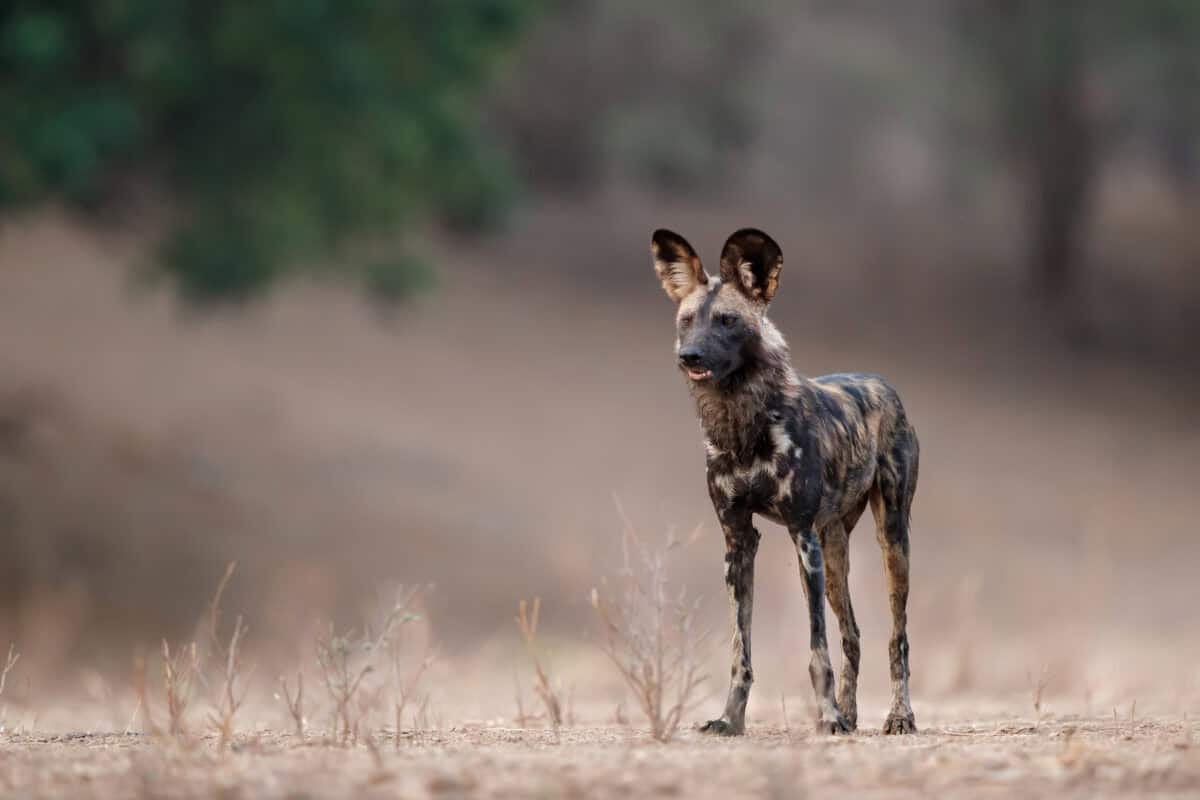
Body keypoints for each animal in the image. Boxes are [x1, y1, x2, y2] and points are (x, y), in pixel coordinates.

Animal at [648, 227, 916, 734]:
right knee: (853, 633)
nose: (688, 355)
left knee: (898, 639)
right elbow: (741, 651)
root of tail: (882, 382)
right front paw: (730, 720)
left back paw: (898, 716)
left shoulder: (800, 535)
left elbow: (817, 650)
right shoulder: (738, 541)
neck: (742, 426)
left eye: (728, 321)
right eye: (687, 321)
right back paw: (851, 714)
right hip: (834, 554)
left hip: (891, 541)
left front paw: (828, 715)